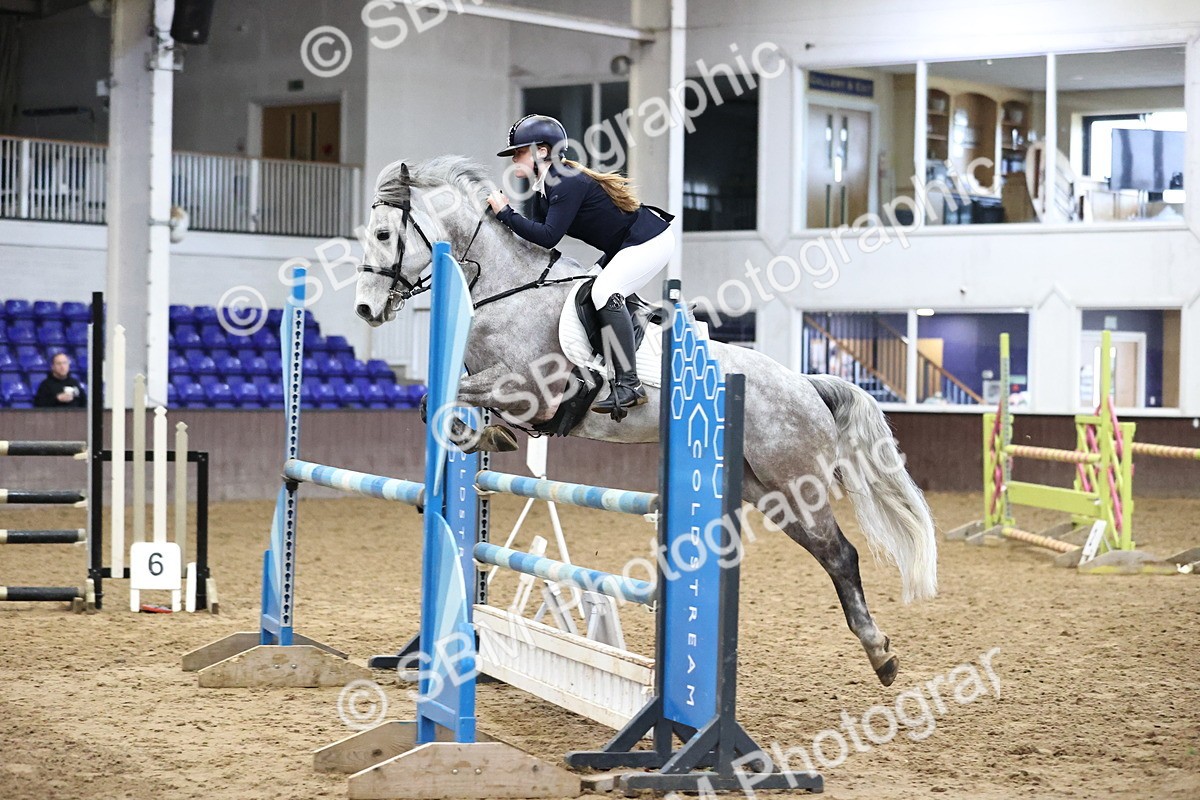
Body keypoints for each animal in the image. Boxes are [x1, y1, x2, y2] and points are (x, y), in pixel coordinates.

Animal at [354, 156, 937, 687]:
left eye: (383, 234)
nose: (365, 311)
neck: (507, 290)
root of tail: (805, 384)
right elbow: (438, 401)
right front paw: (485, 435)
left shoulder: (530, 389)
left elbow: (443, 400)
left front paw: (480, 432)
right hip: (768, 490)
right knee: (828, 553)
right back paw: (878, 653)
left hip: (797, 482)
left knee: (841, 553)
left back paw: (882, 656)